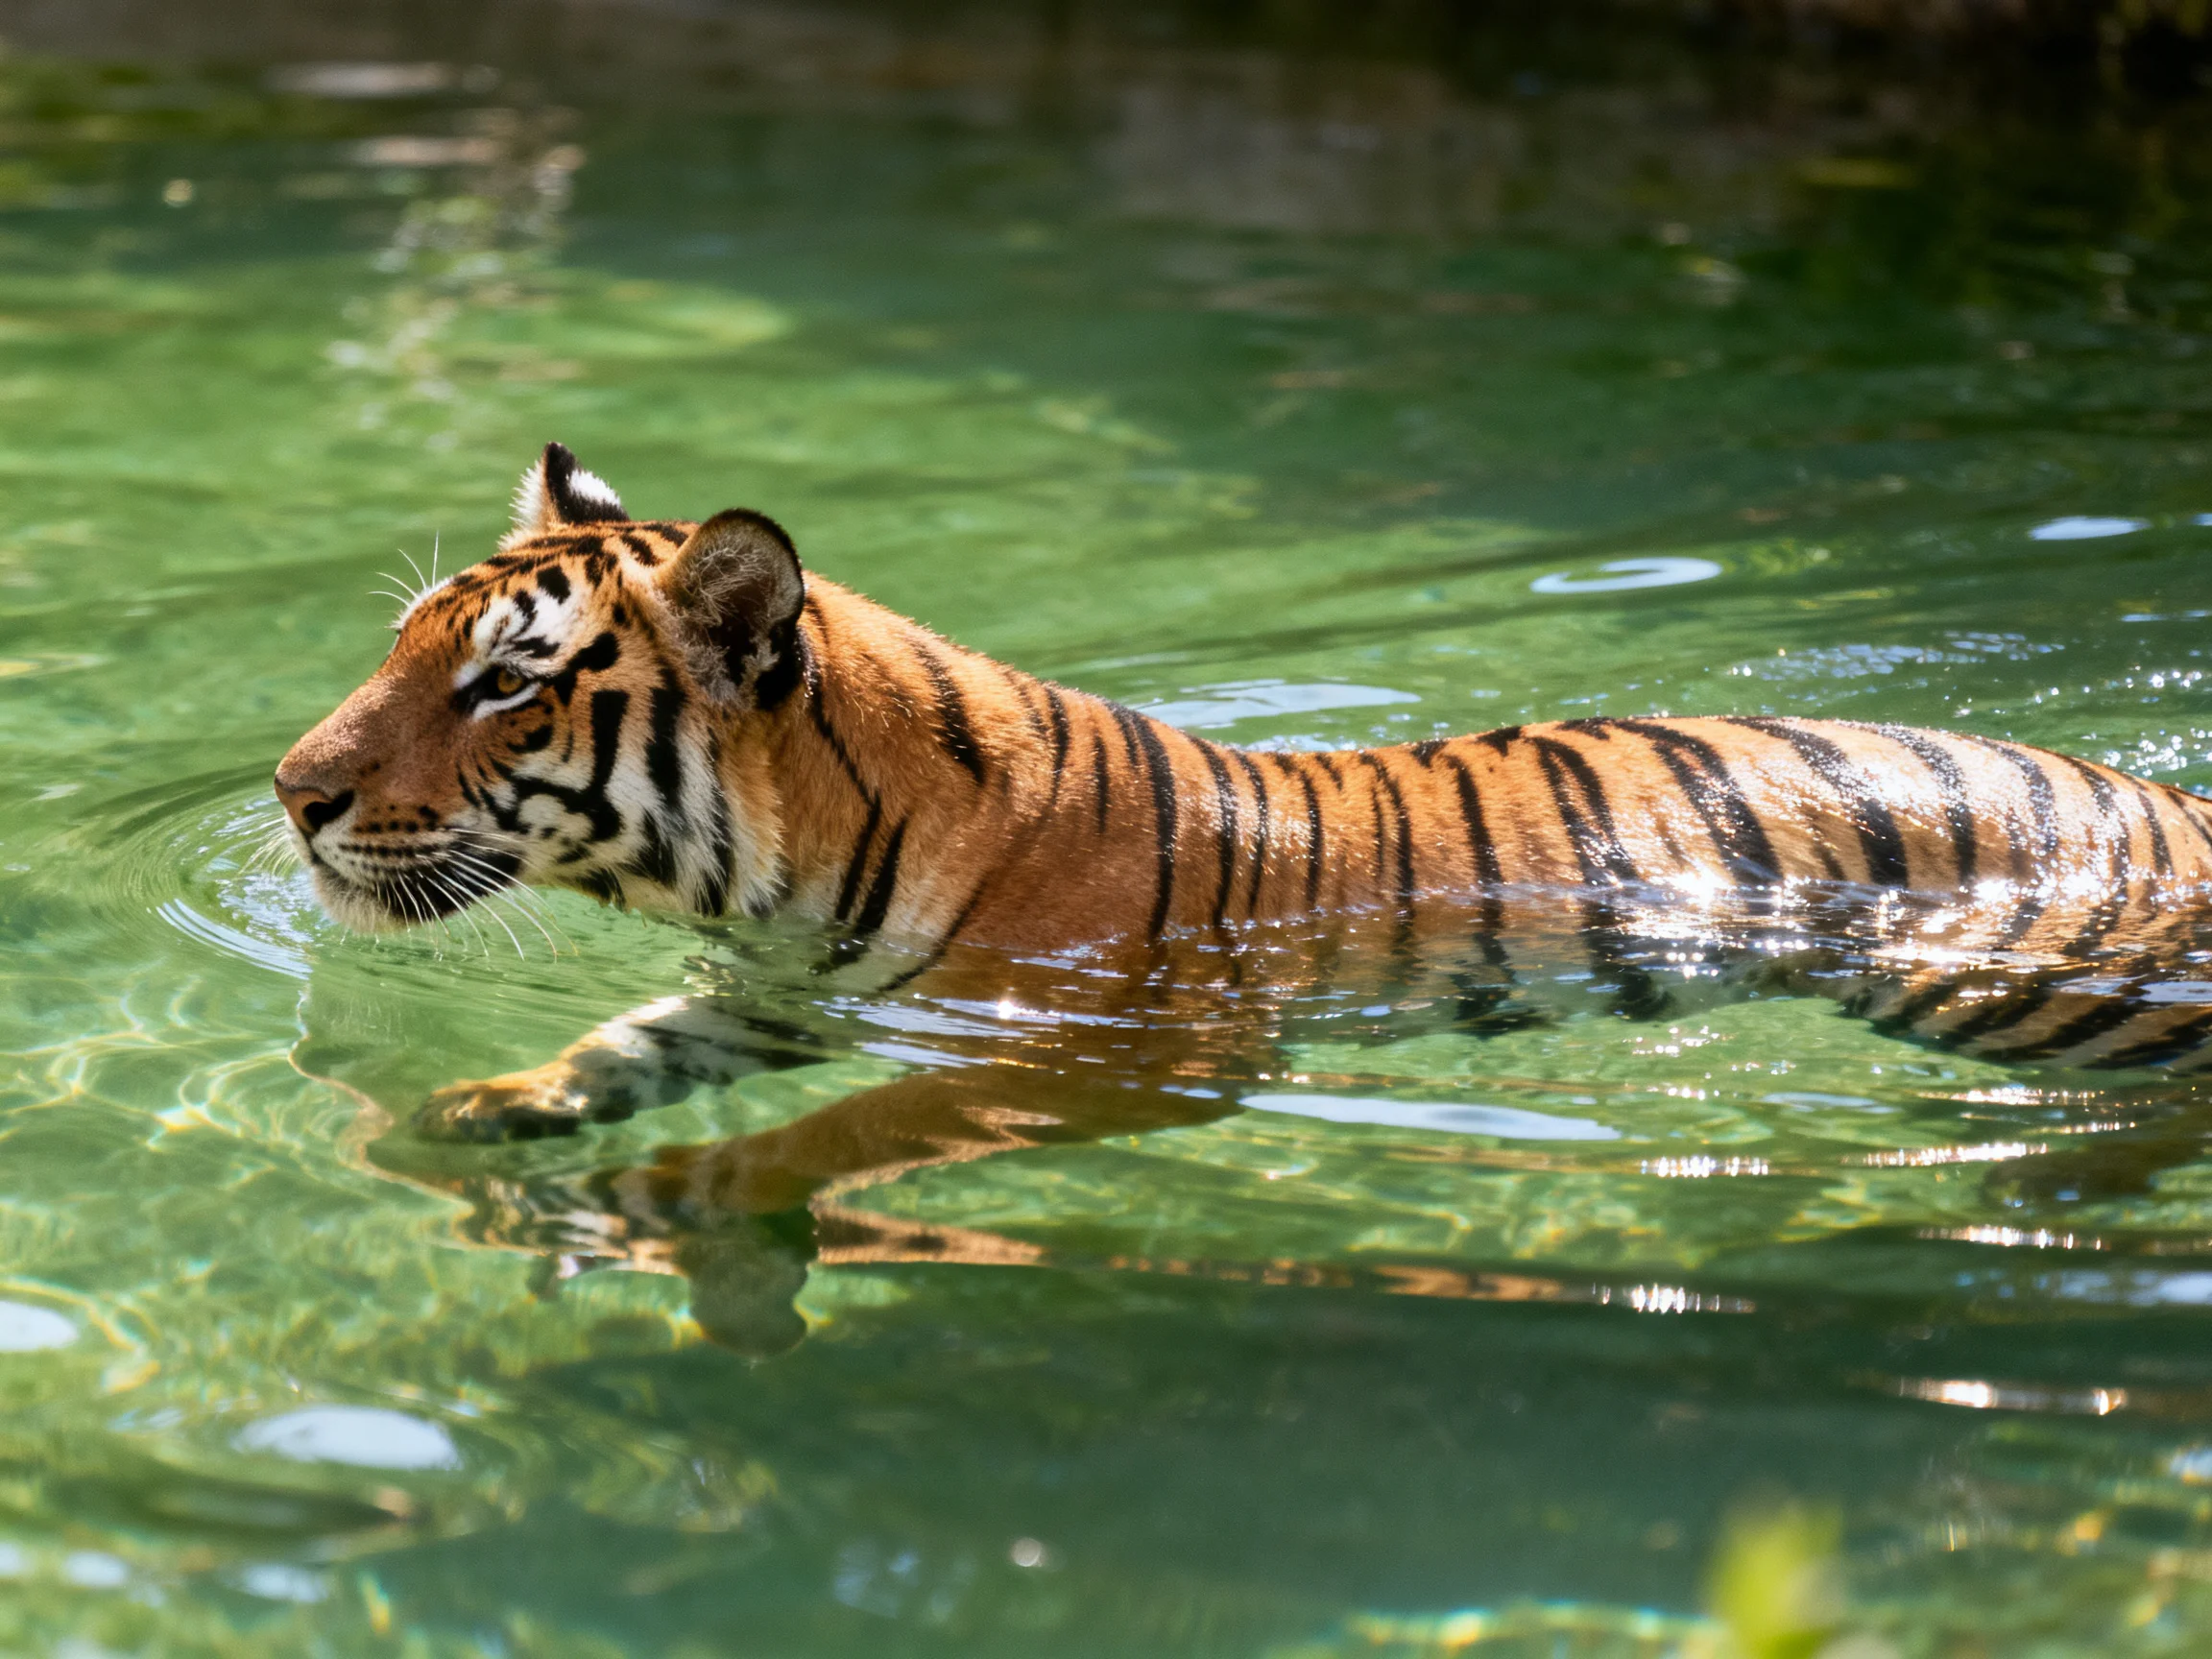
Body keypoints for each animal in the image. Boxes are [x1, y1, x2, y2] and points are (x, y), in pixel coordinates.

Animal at [278, 440, 2212, 1183]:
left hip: (2032, 1001)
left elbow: (859, 1127)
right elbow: (628, 1045)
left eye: (504, 685)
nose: (294, 794)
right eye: (404, 644)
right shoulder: (771, 987)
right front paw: (483, 1111)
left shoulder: (1111, 1052)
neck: (782, 870)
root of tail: (2170, 799)